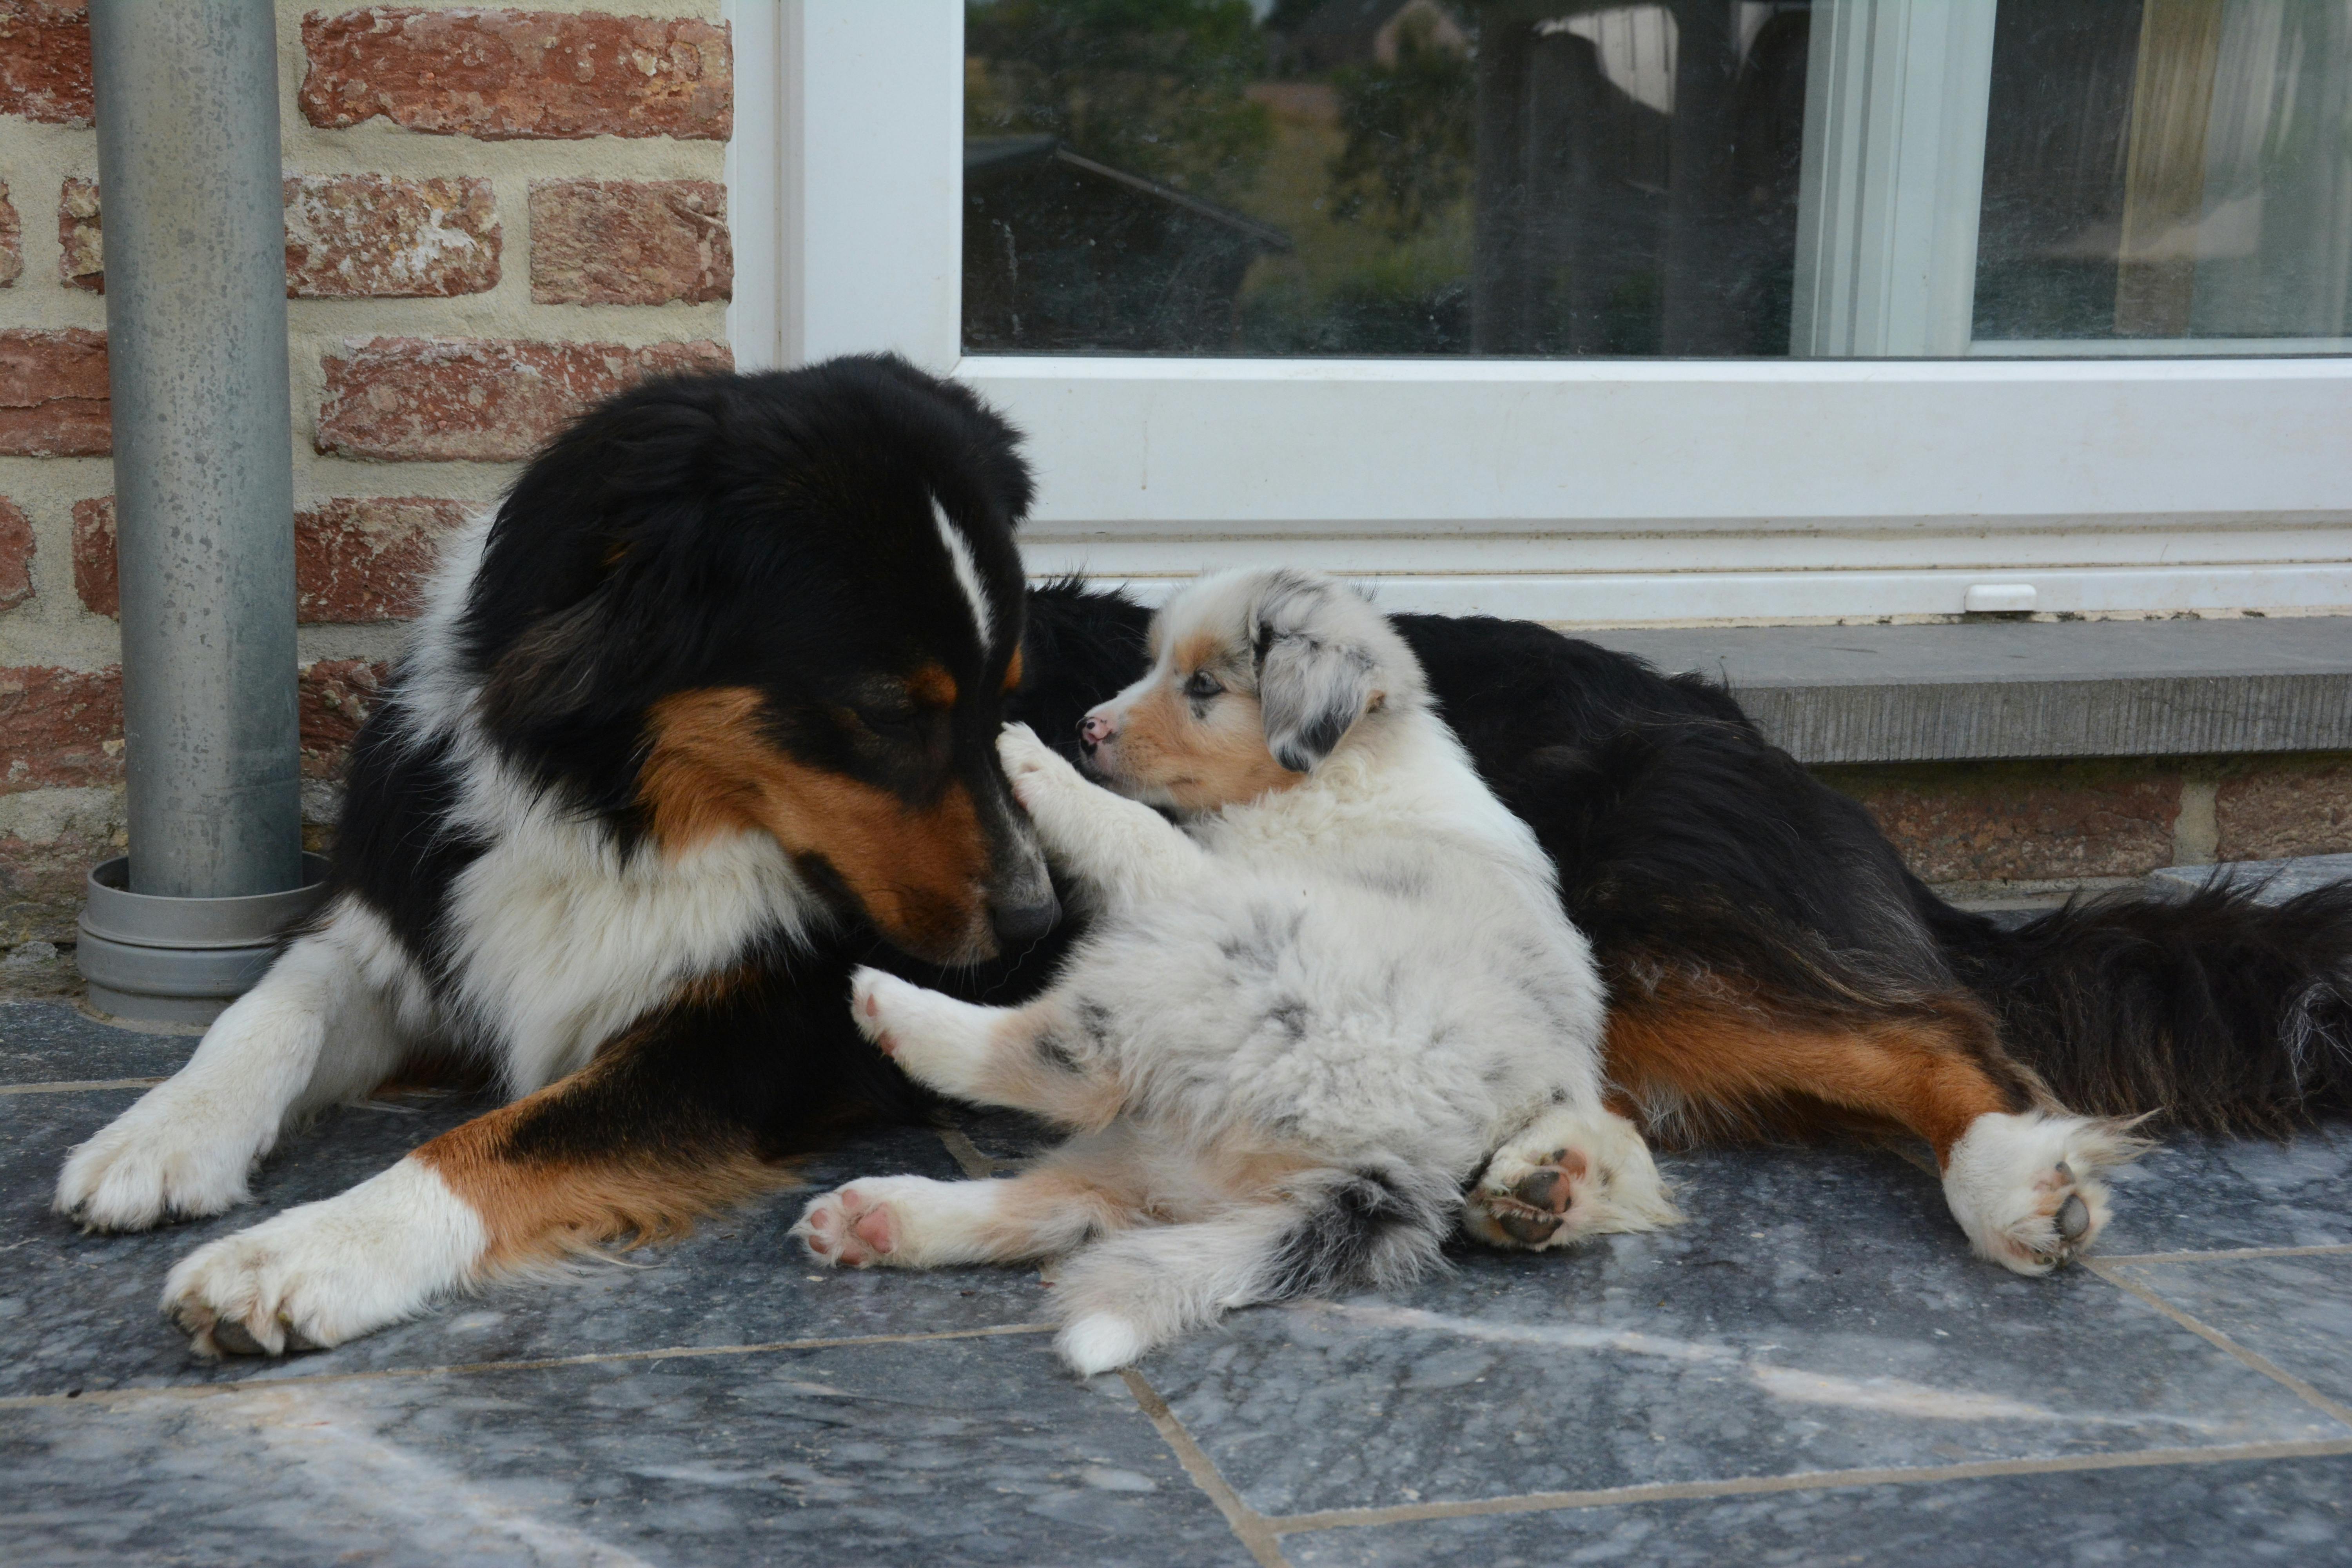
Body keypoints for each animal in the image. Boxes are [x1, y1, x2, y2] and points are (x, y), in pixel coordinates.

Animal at [55, 359, 2352, 1363]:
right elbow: (277, 994)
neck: (636, 800)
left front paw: (307, 1255)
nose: (1020, 932)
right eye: (881, 706)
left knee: (1948, 1033)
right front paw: (158, 1140)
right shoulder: (435, 891)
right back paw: (1543, 1176)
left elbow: (510, 1135)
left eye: (985, 690)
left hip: (1658, 906)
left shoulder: (761, 1026)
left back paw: (2021, 1177)